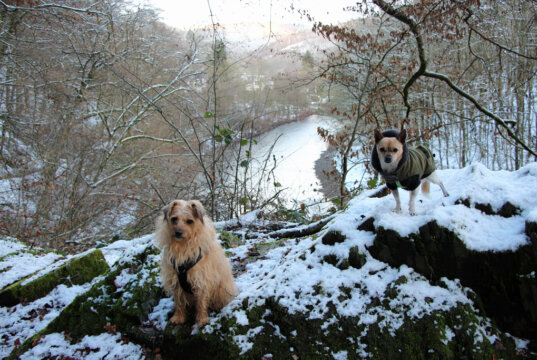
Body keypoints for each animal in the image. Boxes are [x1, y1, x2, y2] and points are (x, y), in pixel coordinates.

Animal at [156, 198, 238, 328]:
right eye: (174, 219)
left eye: (189, 221)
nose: (178, 232)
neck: (182, 247)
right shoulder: (176, 283)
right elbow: (178, 302)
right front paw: (178, 317)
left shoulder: (201, 280)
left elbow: (200, 302)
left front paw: (202, 319)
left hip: (222, 289)